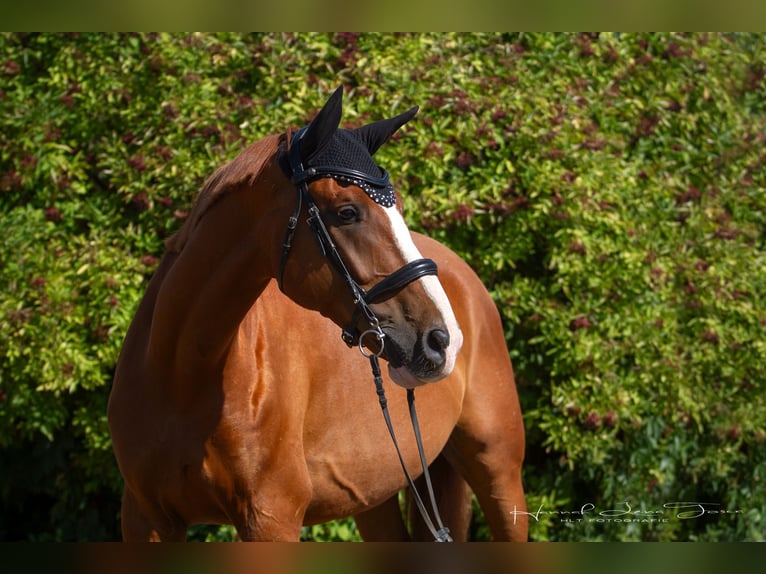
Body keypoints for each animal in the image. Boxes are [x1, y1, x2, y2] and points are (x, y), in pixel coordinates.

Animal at [107, 86, 527, 541]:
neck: (183, 376)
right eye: (347, 212)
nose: (443, 340)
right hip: (374, 494)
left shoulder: (271, 517)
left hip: (500, 471)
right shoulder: (146, 518)